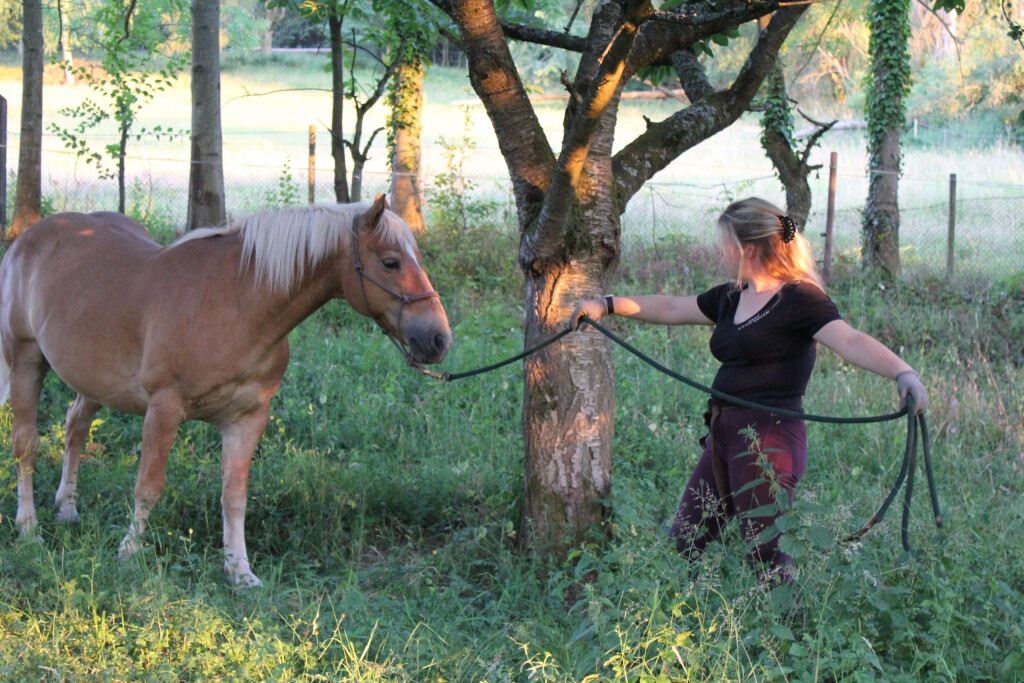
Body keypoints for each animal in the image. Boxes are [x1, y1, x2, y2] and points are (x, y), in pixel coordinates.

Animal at [0, 194, 450, 585]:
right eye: (390, 262)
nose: (438, 339)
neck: (237, 305)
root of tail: (28, 238)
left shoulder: (246, 419)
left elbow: (234, 496)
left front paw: (239, 572)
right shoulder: (164, 409)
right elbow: (148, 486)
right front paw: (128, 551)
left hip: (91, 378)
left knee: (74, 427)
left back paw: (67, 508)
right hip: (26, 360)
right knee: (26, 443)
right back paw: (29, 528)